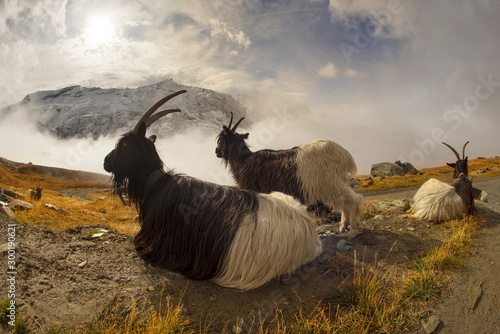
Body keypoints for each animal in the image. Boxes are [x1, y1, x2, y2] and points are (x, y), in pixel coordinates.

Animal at [217, 113, 362, 236]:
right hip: (337, 181)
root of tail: (344, 154)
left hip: (330, 182)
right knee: (346, 202)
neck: (245, 160)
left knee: (353, 199)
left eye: (221, 140)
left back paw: (353, 231)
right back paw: (343, 227)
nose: (216, 151)